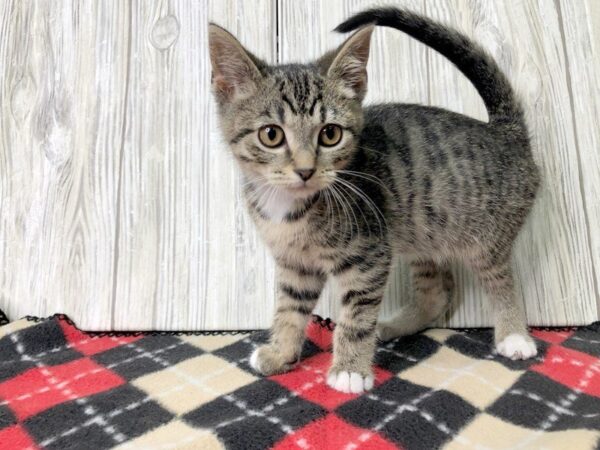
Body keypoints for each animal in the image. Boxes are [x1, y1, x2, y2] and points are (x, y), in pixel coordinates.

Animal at [206, 7, 540, 394]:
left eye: (330, 134)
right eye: (271, 135)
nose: (305, 170)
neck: (290, 206)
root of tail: (505, 132)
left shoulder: (368, 255)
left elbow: (356, 314)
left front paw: (350, 369)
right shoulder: (296, 264)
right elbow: (289, 307)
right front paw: (281, 352)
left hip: (486, 236)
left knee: (501, 279)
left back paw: (514, 335)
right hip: (423, 231)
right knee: (437, 292)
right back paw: (396, 325)